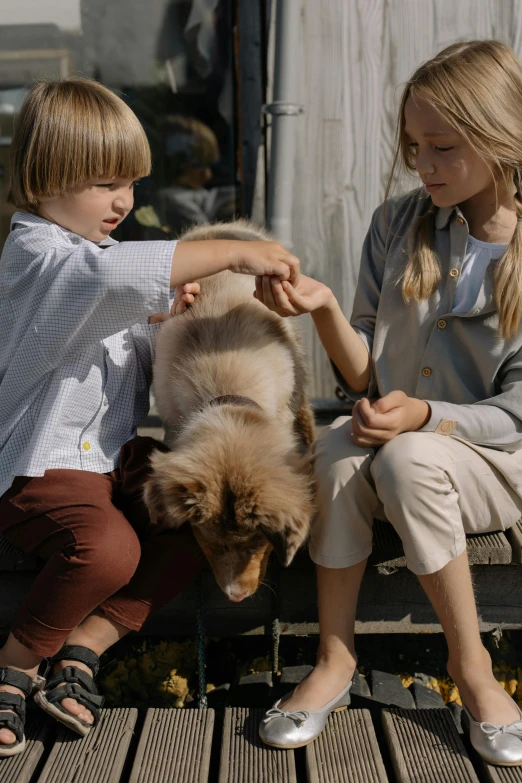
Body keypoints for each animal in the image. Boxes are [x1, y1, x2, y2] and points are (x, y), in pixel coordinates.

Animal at [142, 224, 312, 604]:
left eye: (256, 542)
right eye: (210, 542)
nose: (235, 597)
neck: (227, 387)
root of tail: (219, 227)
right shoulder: (174, 419)